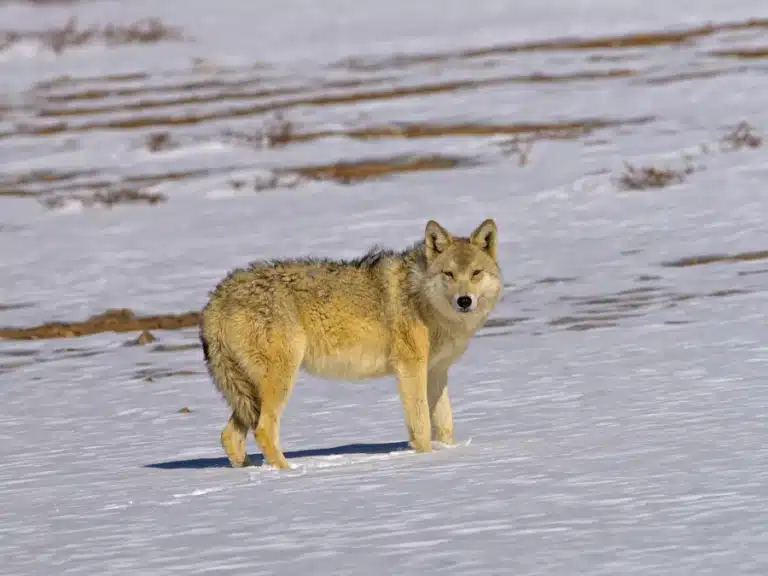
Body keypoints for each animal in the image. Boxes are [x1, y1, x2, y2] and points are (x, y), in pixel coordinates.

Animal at [200, 218, 503, 469]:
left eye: (476, 273)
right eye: (448, 274)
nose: (465, 301)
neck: (423, 301)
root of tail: (215, 299)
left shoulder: (436, 372)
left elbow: (445, 426)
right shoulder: (410, 370)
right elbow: (421, 426)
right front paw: (427, 460)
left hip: (248, 393)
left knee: (229, 435)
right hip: (280, 379)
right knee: (263, 430)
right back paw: (289, 474)